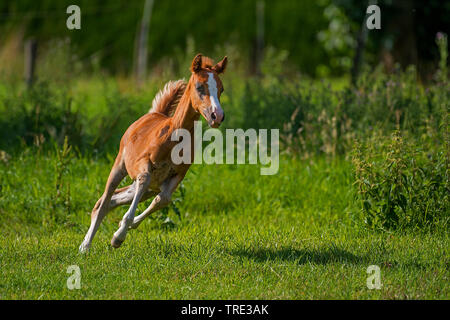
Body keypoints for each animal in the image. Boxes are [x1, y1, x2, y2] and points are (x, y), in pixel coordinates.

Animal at [78, 53, 229, 251]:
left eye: (221, 89)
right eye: (199, 87)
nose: (217, 116)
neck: (174, 136)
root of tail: (153, 113)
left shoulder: (176, 176)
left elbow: (163, 199)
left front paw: (123, 229)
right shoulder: (143, 166)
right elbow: (145, 179)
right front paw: (118, 237)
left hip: (147, 188)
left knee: (114, 200)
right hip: (120, 167)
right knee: (103, 203)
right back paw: (85, 246)